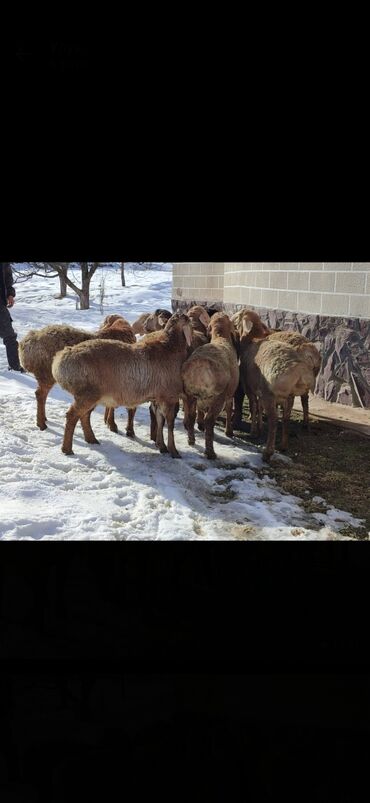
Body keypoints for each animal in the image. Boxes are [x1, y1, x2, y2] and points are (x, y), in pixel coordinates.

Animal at [52, 310, 194, 456]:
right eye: (188, 321)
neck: (171, 347)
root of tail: (59, 361)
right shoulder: (169, 396)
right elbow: (170, 423)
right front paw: (173, 450)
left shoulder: (158, 397)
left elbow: (160, 420)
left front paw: (162, 446)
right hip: (86, 394)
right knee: (72, 416)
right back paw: (67, 449)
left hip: (91, 396)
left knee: (84, 416)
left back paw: (91, 439)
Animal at [181, 312, 238, 462]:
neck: (220, 337)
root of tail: (199, 368)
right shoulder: (229, 394)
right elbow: (229, 409)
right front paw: (229, 431)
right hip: (218, 397)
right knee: (209, 421)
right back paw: (210, 452)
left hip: (190, 394)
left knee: (191, 416)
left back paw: (191, 440)